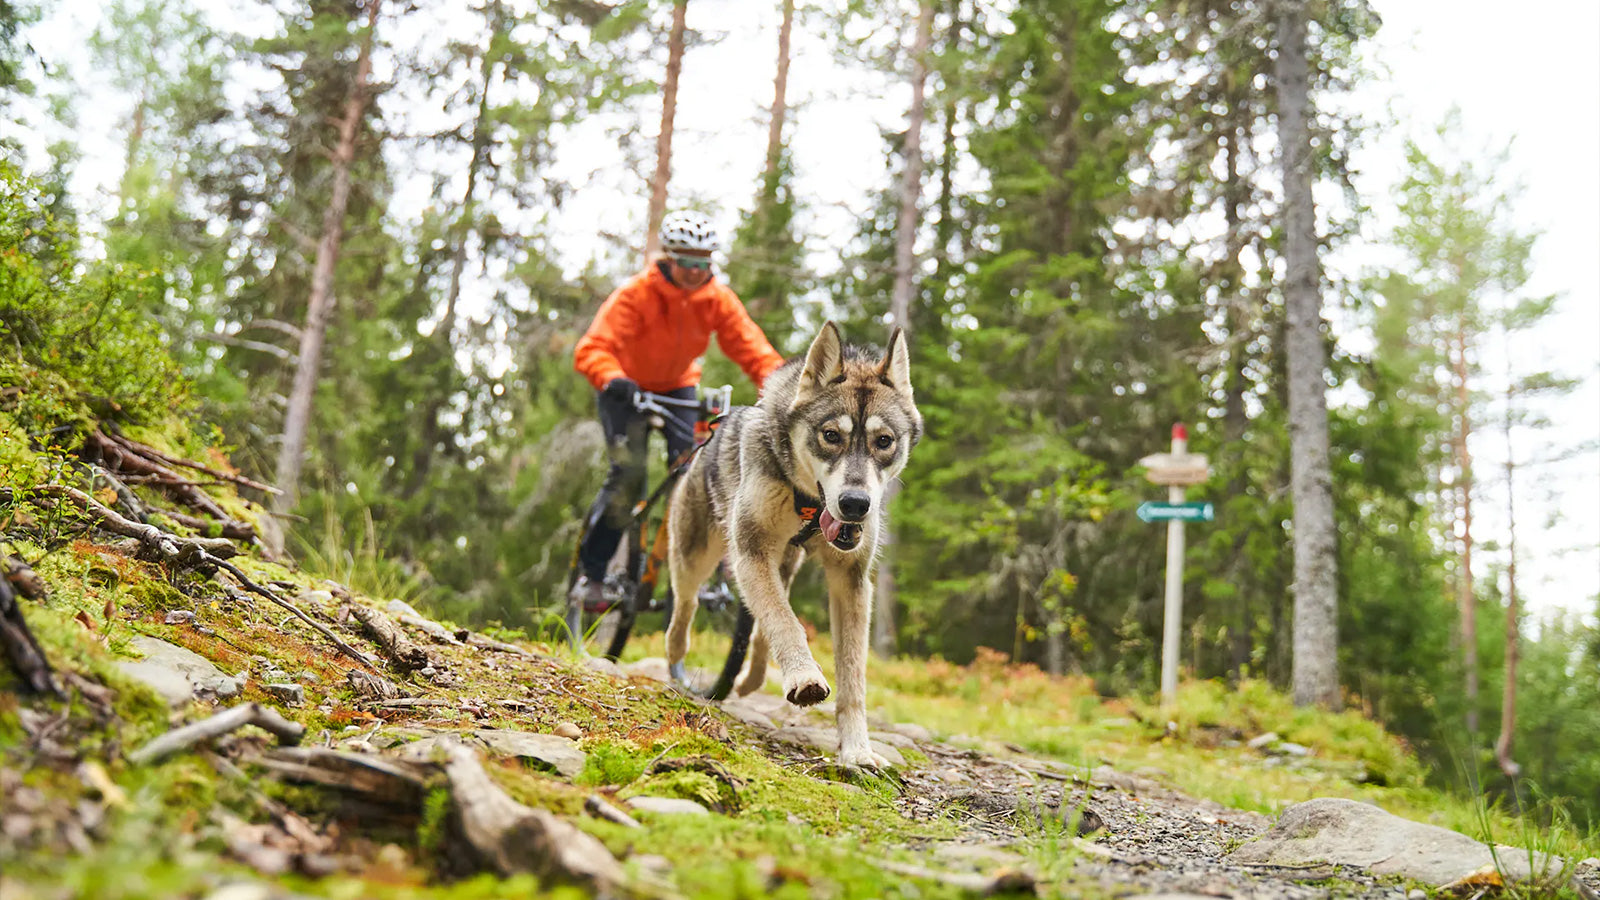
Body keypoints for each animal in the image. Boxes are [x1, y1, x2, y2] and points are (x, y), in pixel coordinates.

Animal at [662, 318, 921, 768]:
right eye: (831, 435)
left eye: (884, 441)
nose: (855, 504)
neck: (807, 503)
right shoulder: (750, 553)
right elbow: (786, 621)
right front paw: (805, 675)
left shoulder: (851, 582)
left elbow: (852, 678)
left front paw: (858, 750)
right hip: (698, 555)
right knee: (687, 604)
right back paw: (678, 654)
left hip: (782, 565)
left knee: (760, 623)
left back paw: (752, 677)